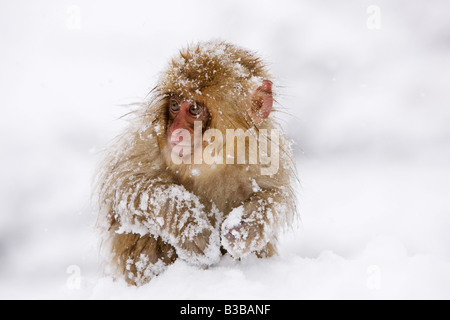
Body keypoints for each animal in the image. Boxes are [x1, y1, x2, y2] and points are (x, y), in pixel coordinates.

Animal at [96, 40, 296, 284]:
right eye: (174, 105)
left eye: (193, 109)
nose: (176, 131)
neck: (212, 160)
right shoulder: (147, 139)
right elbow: (126, 187)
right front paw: (192, 229)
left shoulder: (265, 152)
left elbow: (276, 195)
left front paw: (245, 228)